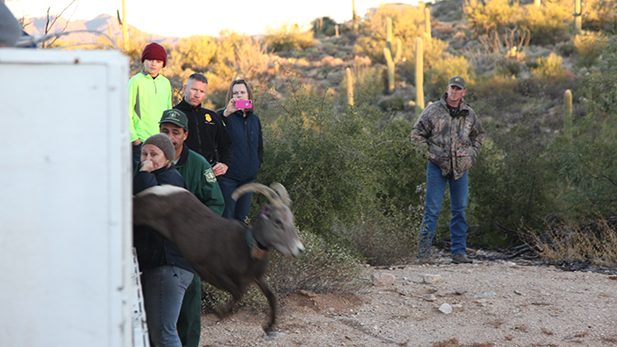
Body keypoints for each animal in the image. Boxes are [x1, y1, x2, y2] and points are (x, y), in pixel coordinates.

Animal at [132, 182, 304, 332]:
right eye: (278, 221)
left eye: (291, 219)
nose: (299, 249)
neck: (246, 248)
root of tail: (158, 190)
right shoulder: (215, 271)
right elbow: (238, 293)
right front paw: (220, 312)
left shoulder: (257, 277)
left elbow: (272, 297)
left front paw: (269, 327)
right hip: (142, 212)